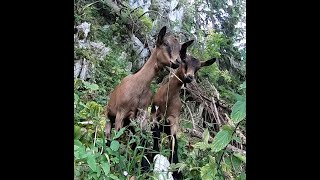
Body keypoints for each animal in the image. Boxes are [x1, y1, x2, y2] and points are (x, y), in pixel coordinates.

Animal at [151, 40, 216, 179]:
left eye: (198, 68)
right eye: (184, 61)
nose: (189, 77)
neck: (167, 99)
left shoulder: (173, 119)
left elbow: (174, 144)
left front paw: (176, 170)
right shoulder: (154, 113)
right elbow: (156, 134)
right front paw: (153, 154)